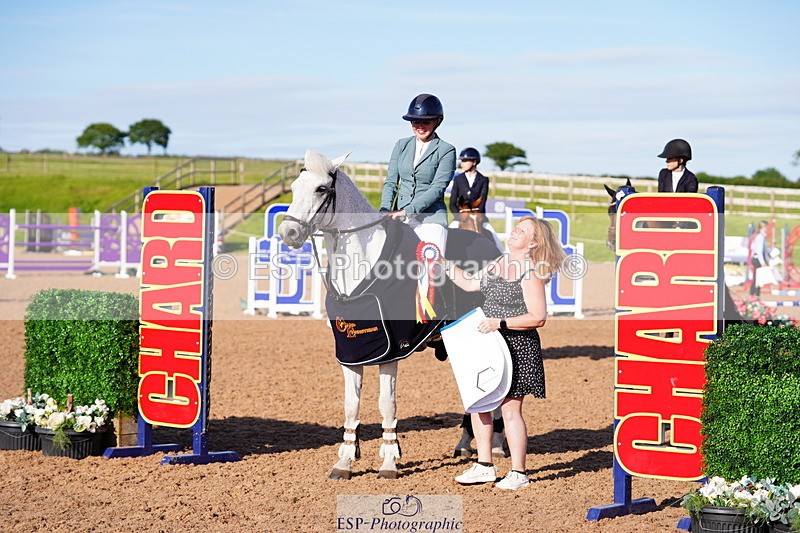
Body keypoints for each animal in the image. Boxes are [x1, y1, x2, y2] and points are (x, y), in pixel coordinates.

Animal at [278, 149, 501, 479]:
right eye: (293, 187)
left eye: (321, 188)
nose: (288, 233)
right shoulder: (351, 351)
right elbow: (351, 404)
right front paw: (345, 461)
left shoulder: (390, 351)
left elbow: (387, 403)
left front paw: (389, 461)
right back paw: (465, 442)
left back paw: (496, 444)